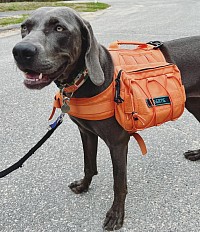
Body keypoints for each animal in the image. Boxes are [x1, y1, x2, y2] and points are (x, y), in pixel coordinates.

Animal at [12, 6, 200, 230]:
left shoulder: (118, 143)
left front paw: (116, 214)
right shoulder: (86, 132)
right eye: (24, 27)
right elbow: (89, 165)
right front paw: (84, 186)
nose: (21, 51)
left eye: (59, 28)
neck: (83, 80)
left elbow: (119, 183)